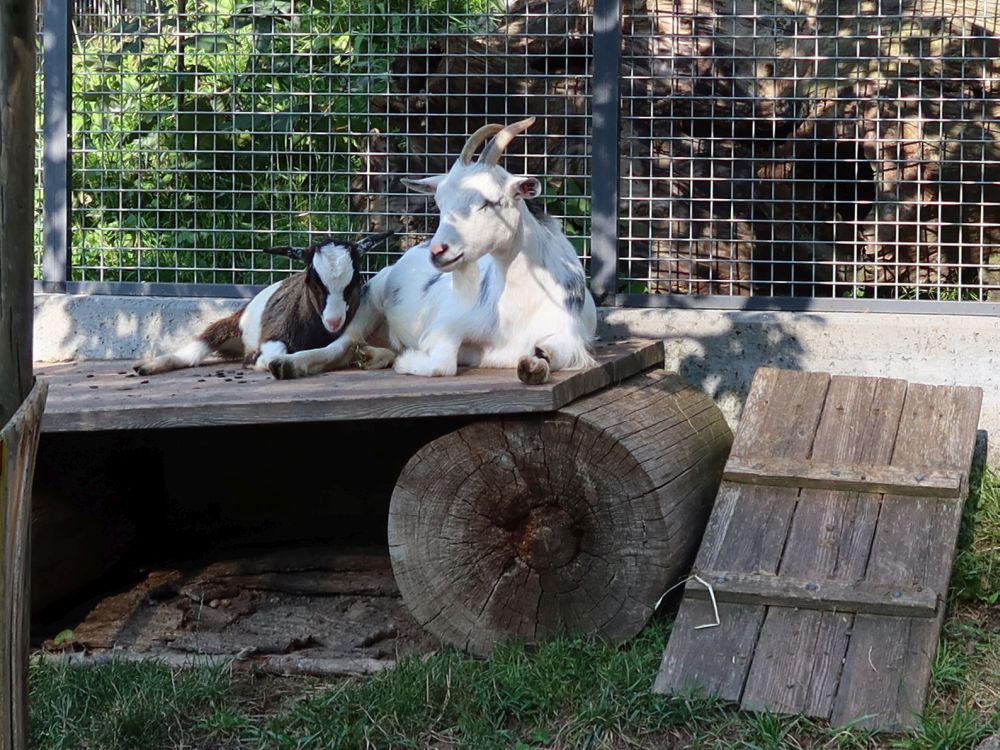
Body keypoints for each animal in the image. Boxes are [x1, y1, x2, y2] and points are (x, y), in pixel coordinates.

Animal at [266, 121, 596, 388]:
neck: (519, 304)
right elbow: (442, 365)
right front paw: (408, 361)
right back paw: (289, 364)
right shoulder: (445, 328)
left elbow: (546, 355)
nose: (438, 250)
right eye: (440, 202)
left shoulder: (571, 339)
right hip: (369, 298)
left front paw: (534, 365)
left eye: (489, 201)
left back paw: (371, 355)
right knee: (341, 344)